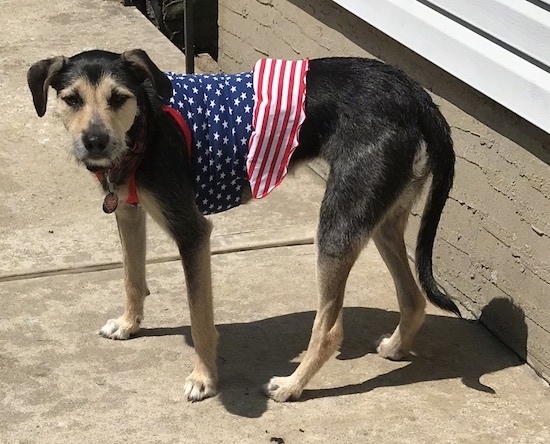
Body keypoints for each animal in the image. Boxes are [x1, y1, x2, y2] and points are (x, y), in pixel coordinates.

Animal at [27, 49, 462, 402]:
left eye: (118, 98)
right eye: (72, 99)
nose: (95, 142)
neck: (145, 127)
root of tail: (417, 96)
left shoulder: (191, 233)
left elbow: (200, 317)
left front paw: (204, 379)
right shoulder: (129, 212)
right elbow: (133, 279)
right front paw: (128, 325)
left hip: (338, 226)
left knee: (329, 331)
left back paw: (292, 386)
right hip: (380, 220)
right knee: (413, 297)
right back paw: (396, 347)